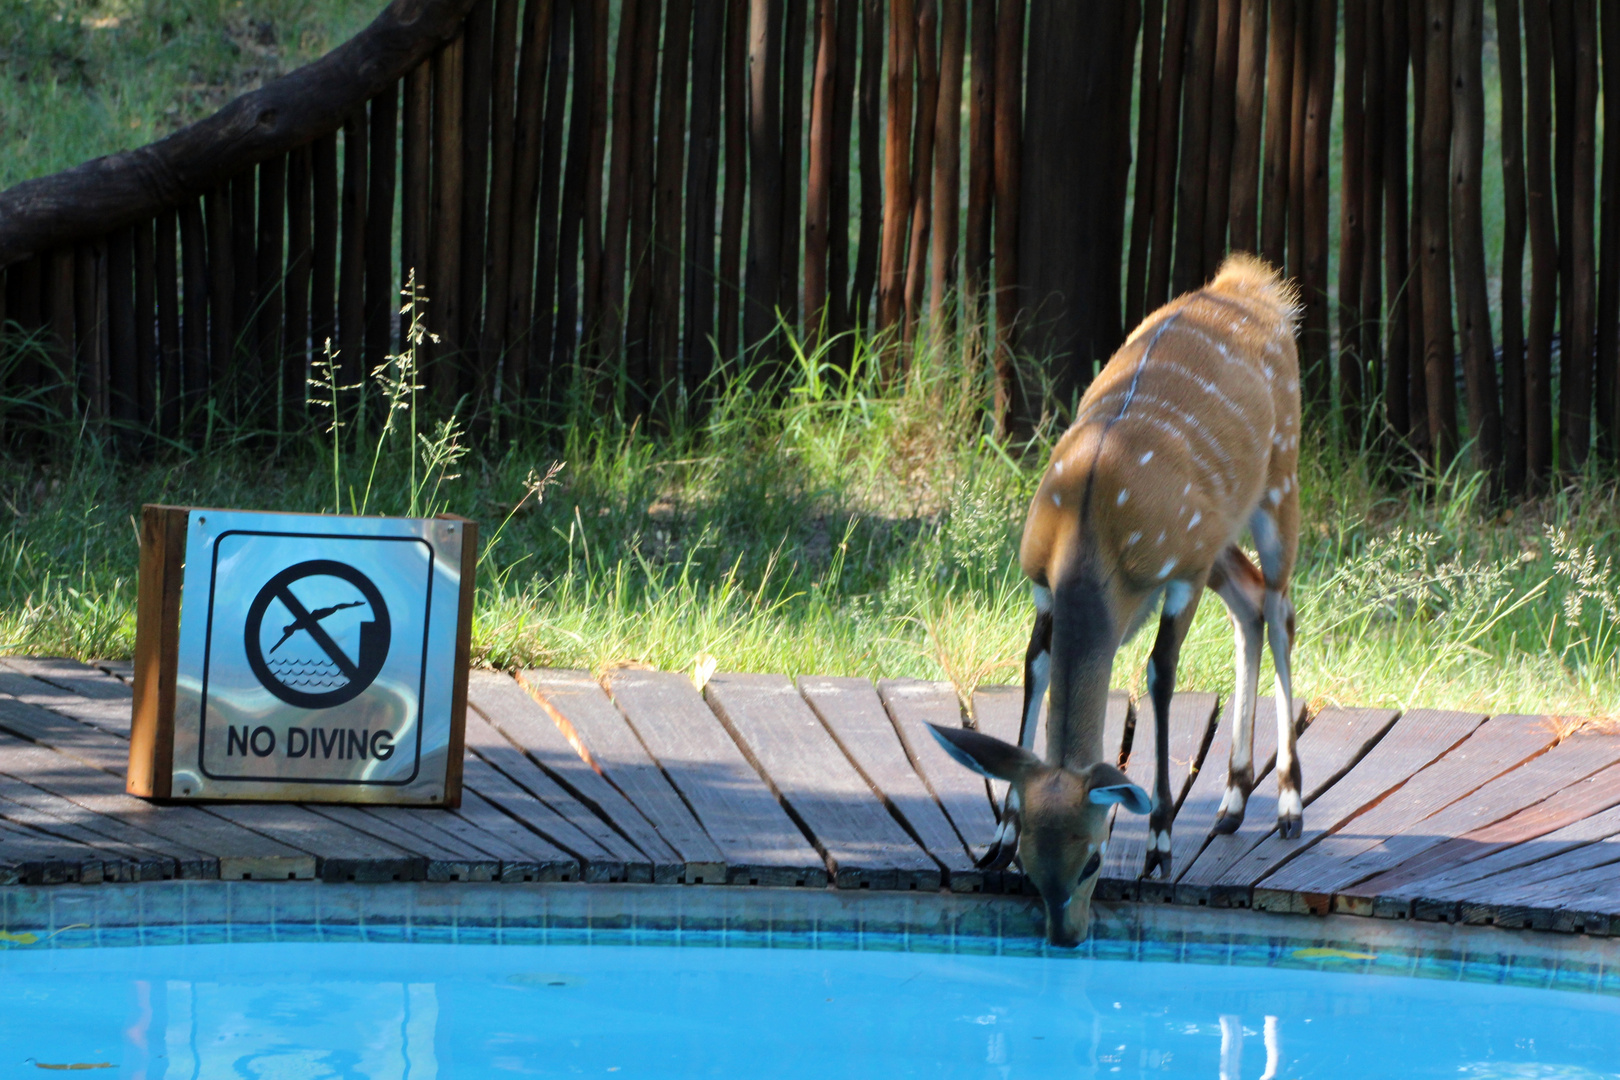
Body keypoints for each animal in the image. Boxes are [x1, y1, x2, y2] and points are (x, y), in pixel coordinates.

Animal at [933, 255, 1296, 945]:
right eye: (1032, 864)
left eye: (1094, 859)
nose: (1065, 935)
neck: (1092, 534)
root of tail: (1251, 283)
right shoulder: (1041, 584)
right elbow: (1034, 668)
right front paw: (996, 837)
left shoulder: (1180, 570)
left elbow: (1159, 676)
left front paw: (1159, 844)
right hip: (1221, 534)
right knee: (1252, 601)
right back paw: (1233, 803)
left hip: (1279, 479)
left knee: (1281, 608)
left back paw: (1288, 804)